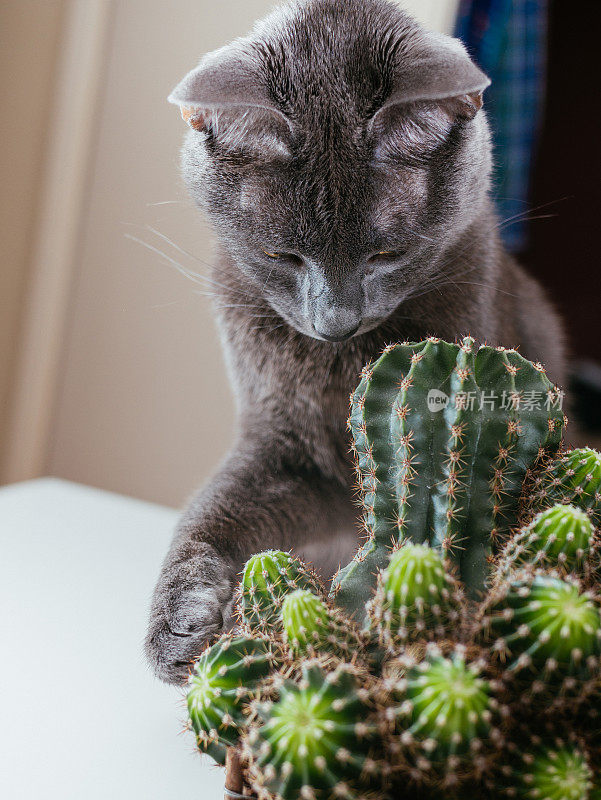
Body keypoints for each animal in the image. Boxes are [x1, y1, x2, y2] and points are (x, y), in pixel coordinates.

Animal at [144, 1, 564, 688]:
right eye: (279, 255)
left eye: (386, 254)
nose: (335, 320)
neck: (340, 370)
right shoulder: (286, 448)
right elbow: (210, 515)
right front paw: (181, 625)